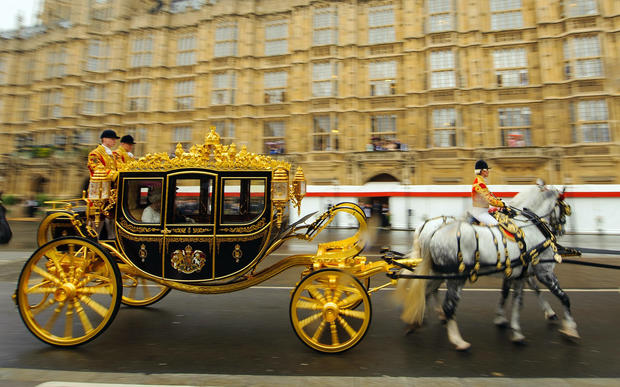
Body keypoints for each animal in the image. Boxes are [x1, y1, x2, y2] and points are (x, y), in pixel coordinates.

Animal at [398, 185, 576, 352]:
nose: (561, 230)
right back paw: (456, 339)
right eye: (564, 207)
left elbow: (512, 297)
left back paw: (419, 320)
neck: (529, 227)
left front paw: (505, 321)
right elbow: (558, 296)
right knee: (446, 303)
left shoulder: (516, 272)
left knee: (427, 291)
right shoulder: (542, 271)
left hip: (438, 272)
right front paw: (566, 325)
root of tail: (428, 228)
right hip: (455, 276)